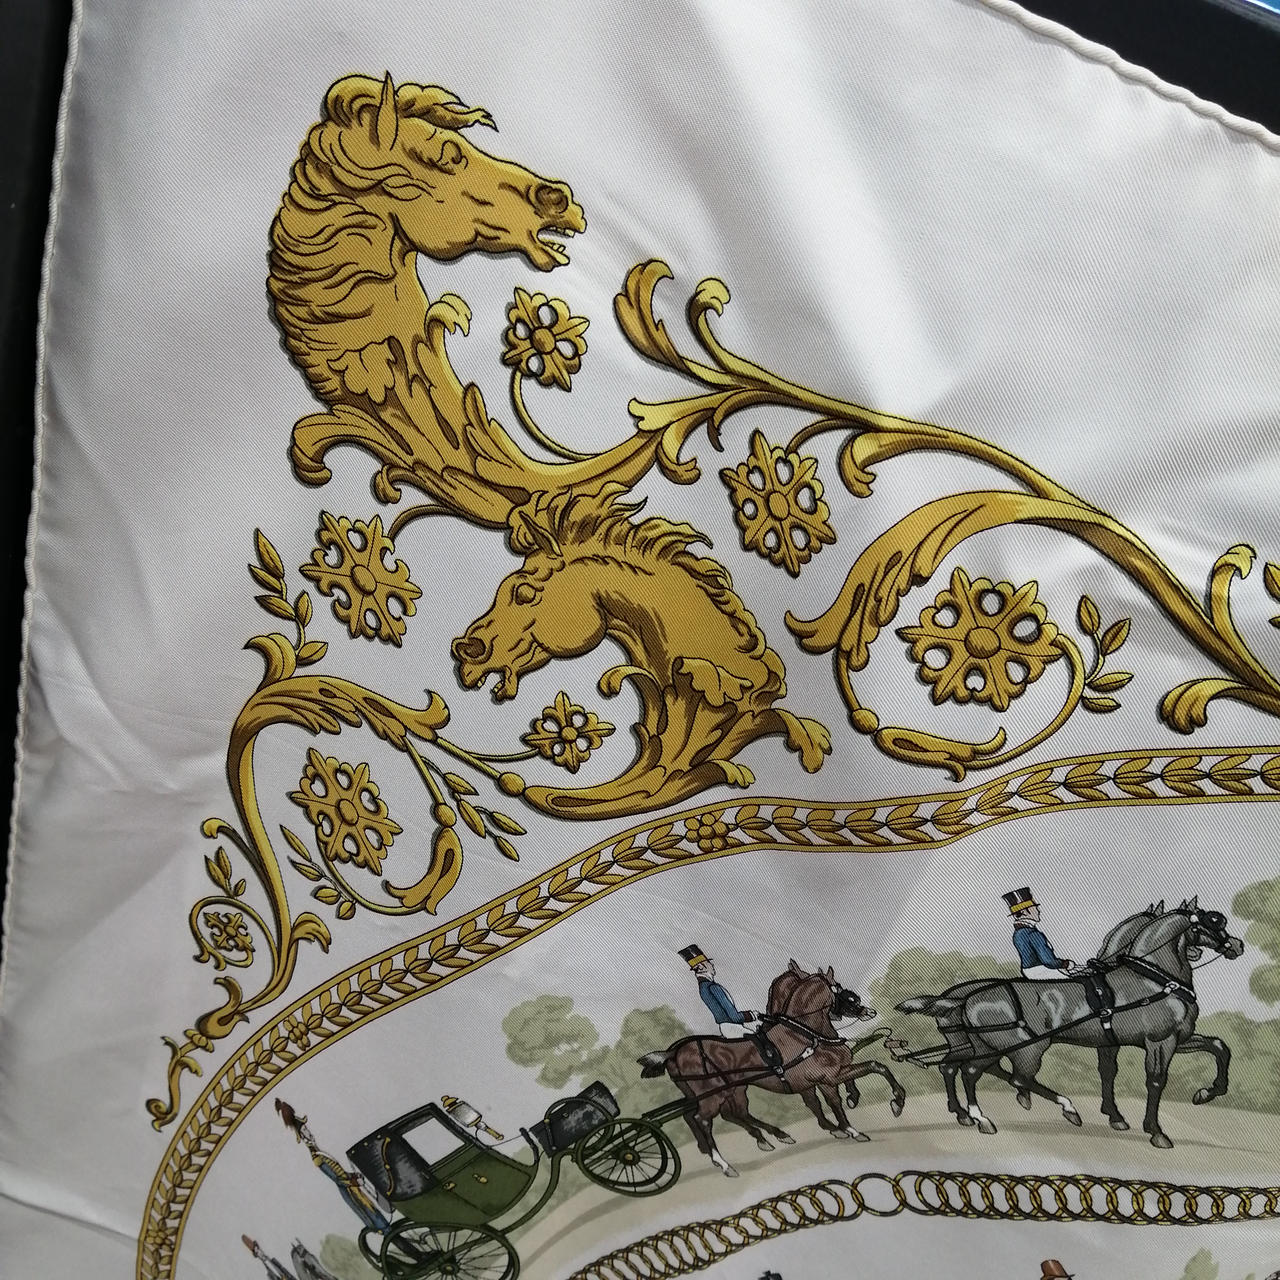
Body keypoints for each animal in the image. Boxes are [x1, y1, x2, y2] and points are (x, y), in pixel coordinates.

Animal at [638, 960, 907, 1177]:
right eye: (838, 989)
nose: (868, 1011)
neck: (804, 1033)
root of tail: (674, 1051)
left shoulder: (819, 1079)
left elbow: (837, 1091)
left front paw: (855, 1104)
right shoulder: (826, 1079)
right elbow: (844, 1093)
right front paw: (855, 1126)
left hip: (730, 1091)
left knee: (726, 1115)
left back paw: (767, 1138)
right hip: (713, 1096)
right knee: (703, 1120)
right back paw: (723, 1163)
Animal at [897, 899, 1243, 1148]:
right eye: (1214, 921)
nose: (1237, 945)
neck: (1152, 977)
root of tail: (962, 999)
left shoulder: (1153, 1039)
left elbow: (1218, 1047)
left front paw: (1206, 1092)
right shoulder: (1160, 1041)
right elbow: (1156, 1080)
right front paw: (1155, 1130)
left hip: (982, 1046)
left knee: (958, 1068)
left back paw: (972, 1114)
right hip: (1027, 1048)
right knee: (1004, 1076)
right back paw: (1021, 1112)